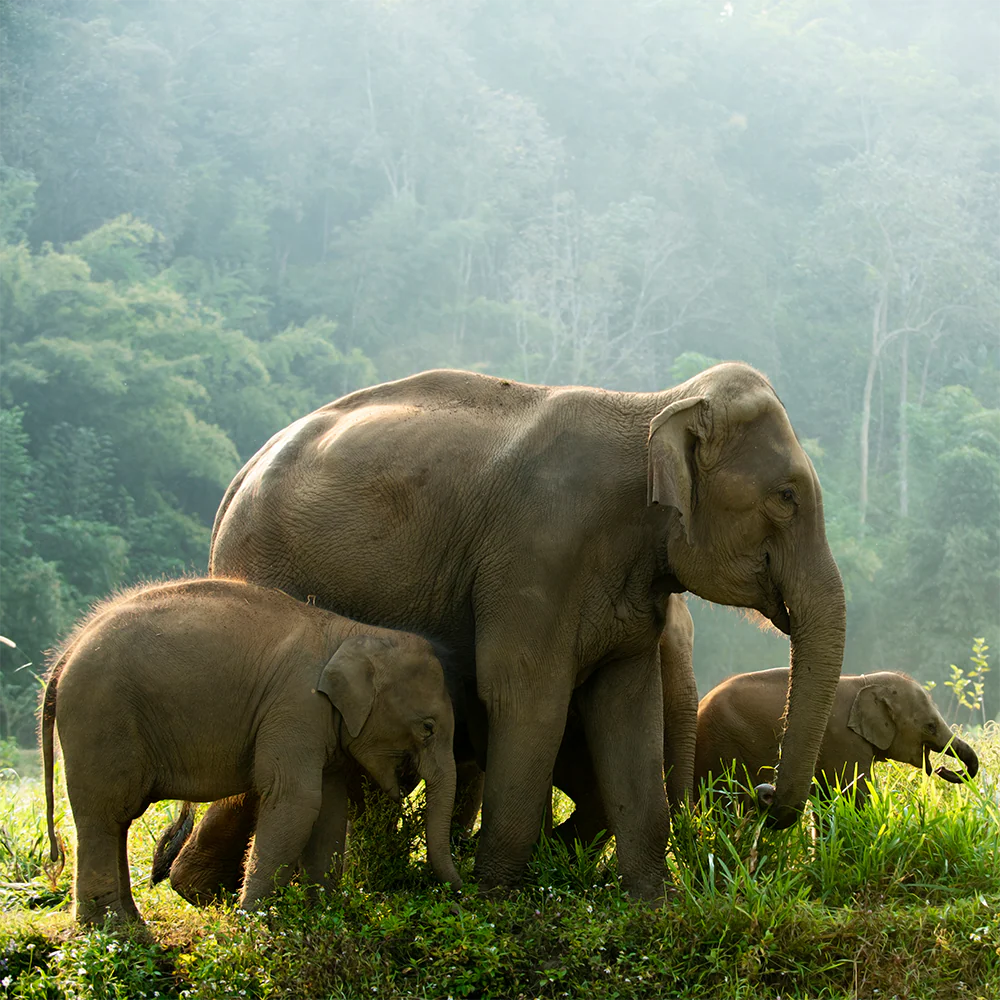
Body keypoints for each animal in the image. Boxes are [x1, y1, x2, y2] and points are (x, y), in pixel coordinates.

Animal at [40, 577, 461, 925]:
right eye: (427, 728)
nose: (461, 898)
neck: (355, 632)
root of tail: (65, 655)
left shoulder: (320, 724)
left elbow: (329, 809)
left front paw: (323, 917)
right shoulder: (296, 705)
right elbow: (296, 800)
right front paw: (253, 924)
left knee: (117, 821)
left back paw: (129, 928)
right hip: (99, 718)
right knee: (106, 814)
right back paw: (115, 934)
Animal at [175, 361, 845, 900]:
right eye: (786, 496)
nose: (762, 794)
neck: (655, 405)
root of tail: (240, 475)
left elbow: (627, 709)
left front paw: (653, 907)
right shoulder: (535, 556)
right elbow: (527, 698)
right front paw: (499, 899)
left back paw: (201, 888)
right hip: (266, 568)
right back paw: (200, 891)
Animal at [694, 668, 980, 808]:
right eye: (930, 727)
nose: (942, 768)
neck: (864, 681)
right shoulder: (844, 742)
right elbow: (853, 794)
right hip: (724, 747)